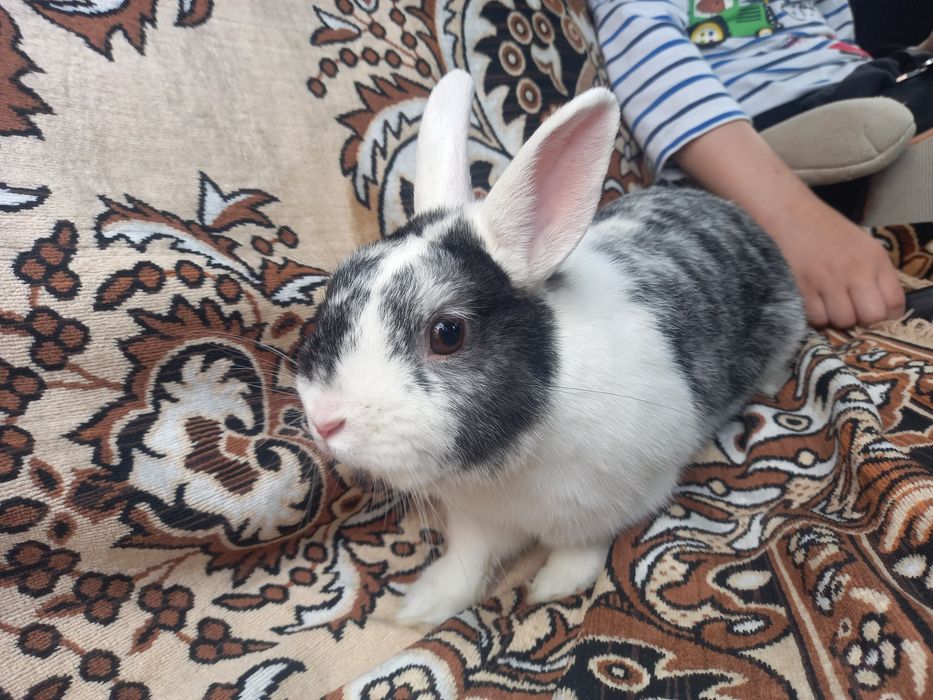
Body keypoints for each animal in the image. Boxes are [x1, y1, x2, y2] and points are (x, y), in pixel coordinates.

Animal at [294, 70, 807, 628]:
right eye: (336, 285)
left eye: (447, 333)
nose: (324, 421)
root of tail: (728, 211)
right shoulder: (475, 519)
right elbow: (466, 563)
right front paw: (421, 607)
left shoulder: (614, 500)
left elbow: (581, 548)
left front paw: (553, 586)